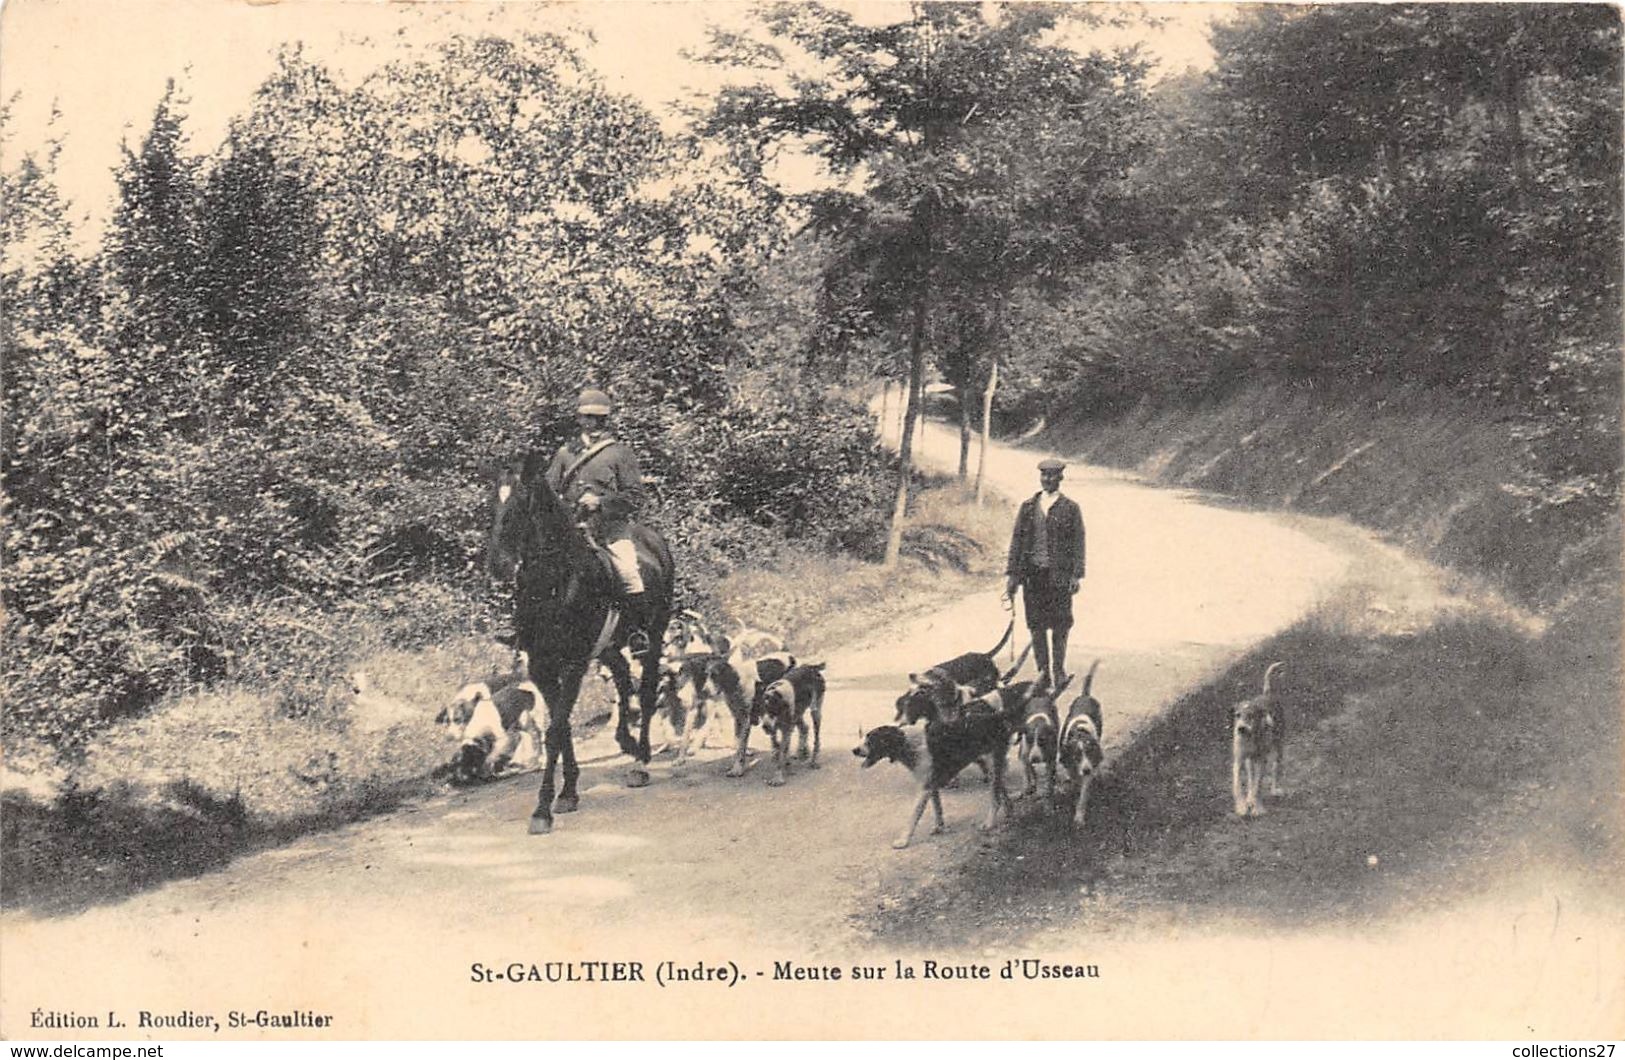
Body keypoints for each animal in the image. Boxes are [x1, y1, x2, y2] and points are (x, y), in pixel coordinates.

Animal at [490, 451, 676, 832]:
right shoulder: (543, 668)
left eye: (522, 502)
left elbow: (556, 730)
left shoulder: (574, 664)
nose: (498, 565)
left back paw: (641, 762)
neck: (553, 584)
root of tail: (652, 537)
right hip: (609, 646)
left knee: (646, 691)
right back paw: (625, 740)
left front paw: (543, 808)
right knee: (622, 678)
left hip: (652, 637)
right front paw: (568, 792)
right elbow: (561, 730)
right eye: (494, 502)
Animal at [1222, 656, 1287, 816]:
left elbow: (1258, 785)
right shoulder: (1239, 761)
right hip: (1249, 761)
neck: (1250, 738)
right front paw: (1241, 806)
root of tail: (1267, 694)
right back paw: (1249, 799)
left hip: (1277, 749)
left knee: (1274, 770)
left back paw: (1273, 790)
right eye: (1237, 715)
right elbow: (1238, 786)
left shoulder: (1260, 761)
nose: (1241, 728)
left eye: (1251, 715)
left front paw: (1258, 808)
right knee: (1251, 778)